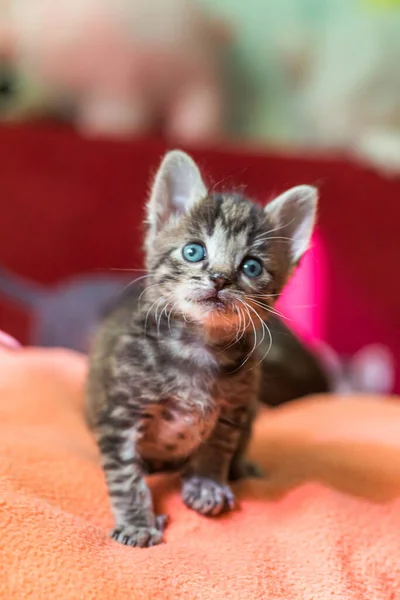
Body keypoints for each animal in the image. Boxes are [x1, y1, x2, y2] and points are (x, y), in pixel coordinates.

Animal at [86, 150, 318, 548]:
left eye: (251, 266)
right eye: (194, 251)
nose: (220, 279)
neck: (198, 347)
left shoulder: (233, 408)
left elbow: (216, 448)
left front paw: (208, 483)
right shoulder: (120, 412)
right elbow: (126, 475)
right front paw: (136, 522)